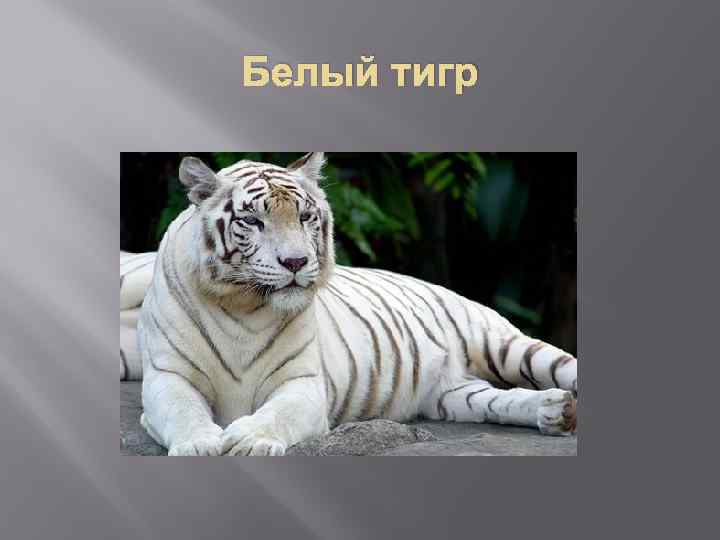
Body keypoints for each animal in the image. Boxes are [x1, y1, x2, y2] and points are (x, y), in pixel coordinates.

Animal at [120, 152, 578, 456]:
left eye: (305, 217)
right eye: (252, 221)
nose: (295, 262)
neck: (242, 306)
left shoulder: (303, 383)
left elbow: (278, 414)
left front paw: (250, 440)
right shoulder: (168, 376)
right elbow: (183, 411)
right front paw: (199, 444)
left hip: (507, 345)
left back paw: (562, 407)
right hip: (453, 395)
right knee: (495, 400)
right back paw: (553, 412)